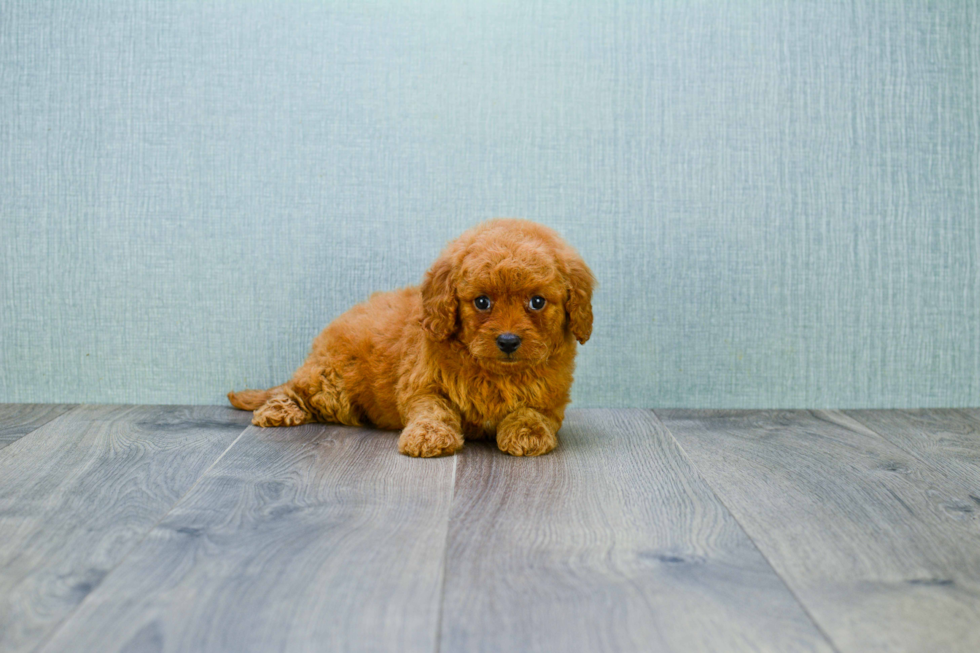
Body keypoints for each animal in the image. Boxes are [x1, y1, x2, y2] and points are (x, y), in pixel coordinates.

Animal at [232, 216, 588, 456]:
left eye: (537, 302)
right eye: (482, 302)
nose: (509, 341)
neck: (496, 372)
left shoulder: (551, 396)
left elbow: (533, 411)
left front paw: (528, 432)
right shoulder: (422, 383)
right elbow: (432, 409)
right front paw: (428, 437)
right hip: (330, 387)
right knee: (292, 390)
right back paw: (279, 410)